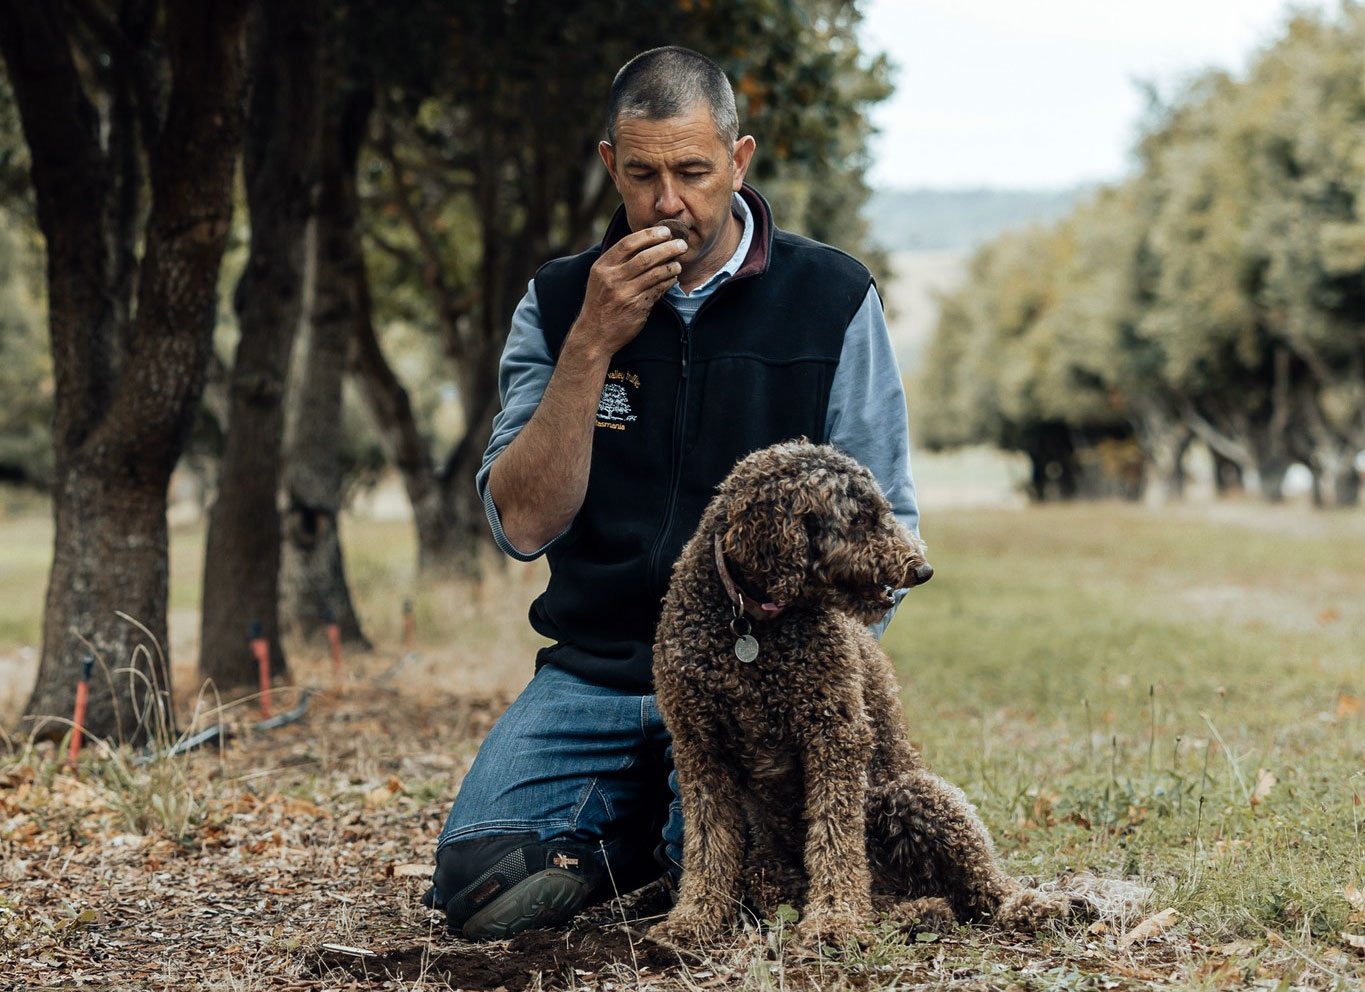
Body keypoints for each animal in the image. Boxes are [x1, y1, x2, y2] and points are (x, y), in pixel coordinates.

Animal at [652, 442, 1075, 944]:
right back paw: (917, 912)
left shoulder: (834, 733)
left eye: (882, 511)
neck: (752, 624)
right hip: (770, 871)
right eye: (858, 519)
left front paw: (835, 920)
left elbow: (836, 839)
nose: (923, 569)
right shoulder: (700, 746)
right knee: (897, 900)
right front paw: (695, 917)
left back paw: (1029, 905)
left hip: (919, 794)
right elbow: (707, 842)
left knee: (983, 886)